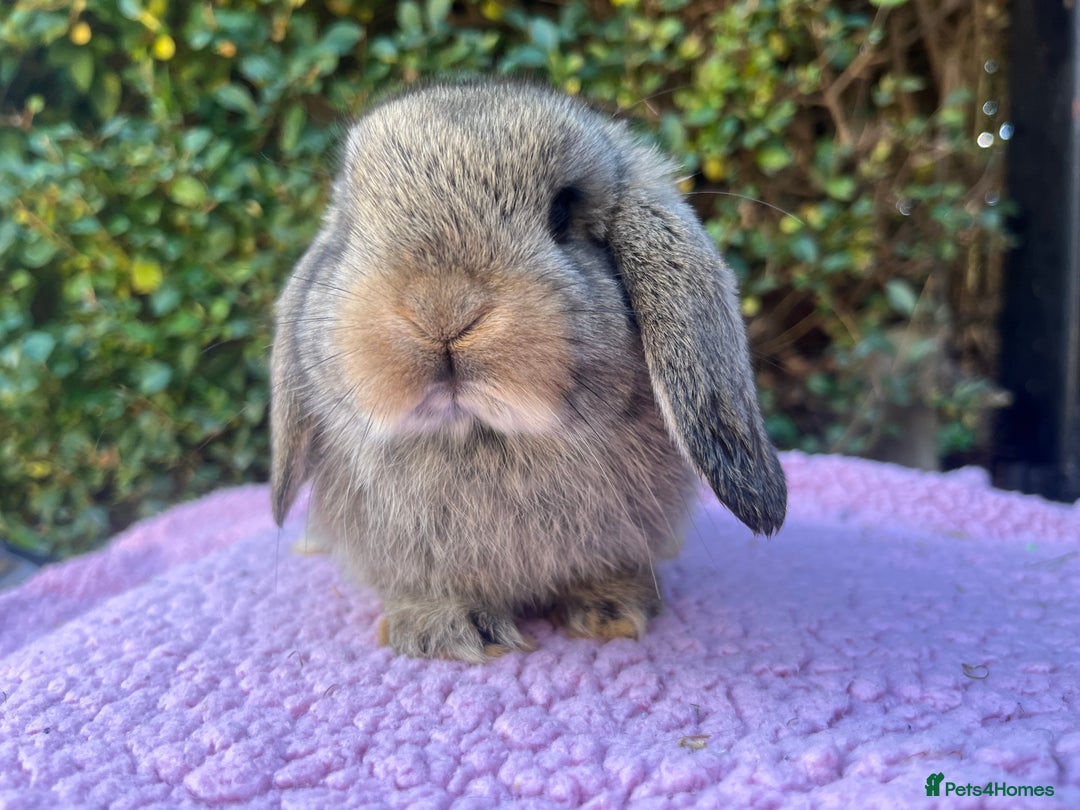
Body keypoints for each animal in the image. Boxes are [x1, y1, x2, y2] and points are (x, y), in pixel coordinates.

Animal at [269, 80, 787, 663]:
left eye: (562, 213)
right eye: (354, 229)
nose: (441, 309)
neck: (480, 436)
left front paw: (611, 614)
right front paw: (450, 632)